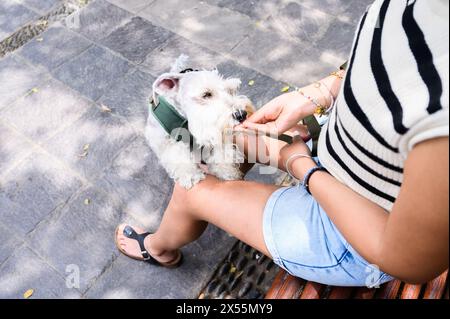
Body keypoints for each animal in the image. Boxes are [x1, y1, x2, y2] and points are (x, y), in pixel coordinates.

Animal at [146, 56, 255, 189]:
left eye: (230, 90)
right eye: (206, 94)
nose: (242, 114)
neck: (185, 120)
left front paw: (227, 171)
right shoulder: (163, 141)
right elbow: (175, 153)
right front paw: (190, 174)